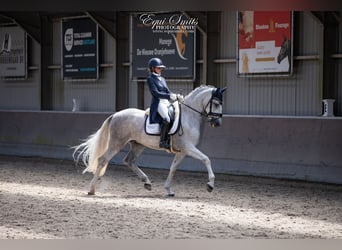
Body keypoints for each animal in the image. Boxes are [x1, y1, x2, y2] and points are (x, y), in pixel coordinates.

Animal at [73, 85, 226, 196]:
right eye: (216, 103)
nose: (217, 123)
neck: (189, 116)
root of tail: (115, 114)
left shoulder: (182, 151)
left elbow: (173, 168)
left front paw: (169, 189)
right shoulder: (188, 148)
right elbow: (206, 159)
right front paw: (210, 185)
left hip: (138, 145)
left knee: (129, 161)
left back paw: (146, 182)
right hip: (117, 143)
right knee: (103, 160)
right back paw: (91, 189)